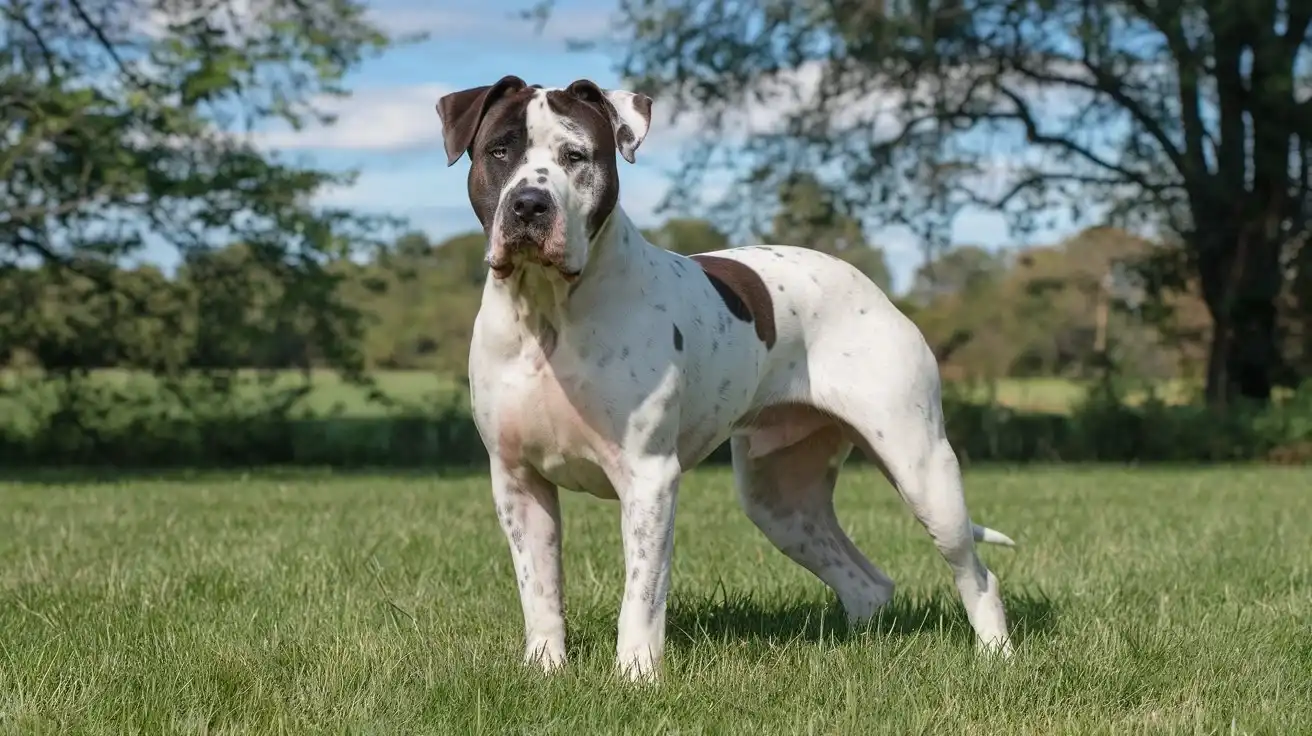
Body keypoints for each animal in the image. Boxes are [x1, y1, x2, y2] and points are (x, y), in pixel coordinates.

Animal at [435, 76, 1018, 682]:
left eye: (576, 156)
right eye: (499, 151)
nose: (529, 204)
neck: (547, 313)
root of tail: (874, 290)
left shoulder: (649, 479)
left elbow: (642, 594)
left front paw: (636, 678)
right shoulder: (518, 481)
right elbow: (540, 591)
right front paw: (545, 669)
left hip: (923, 471)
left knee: (978, 577)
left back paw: (996, 657)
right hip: (779, 500)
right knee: (867, 582)